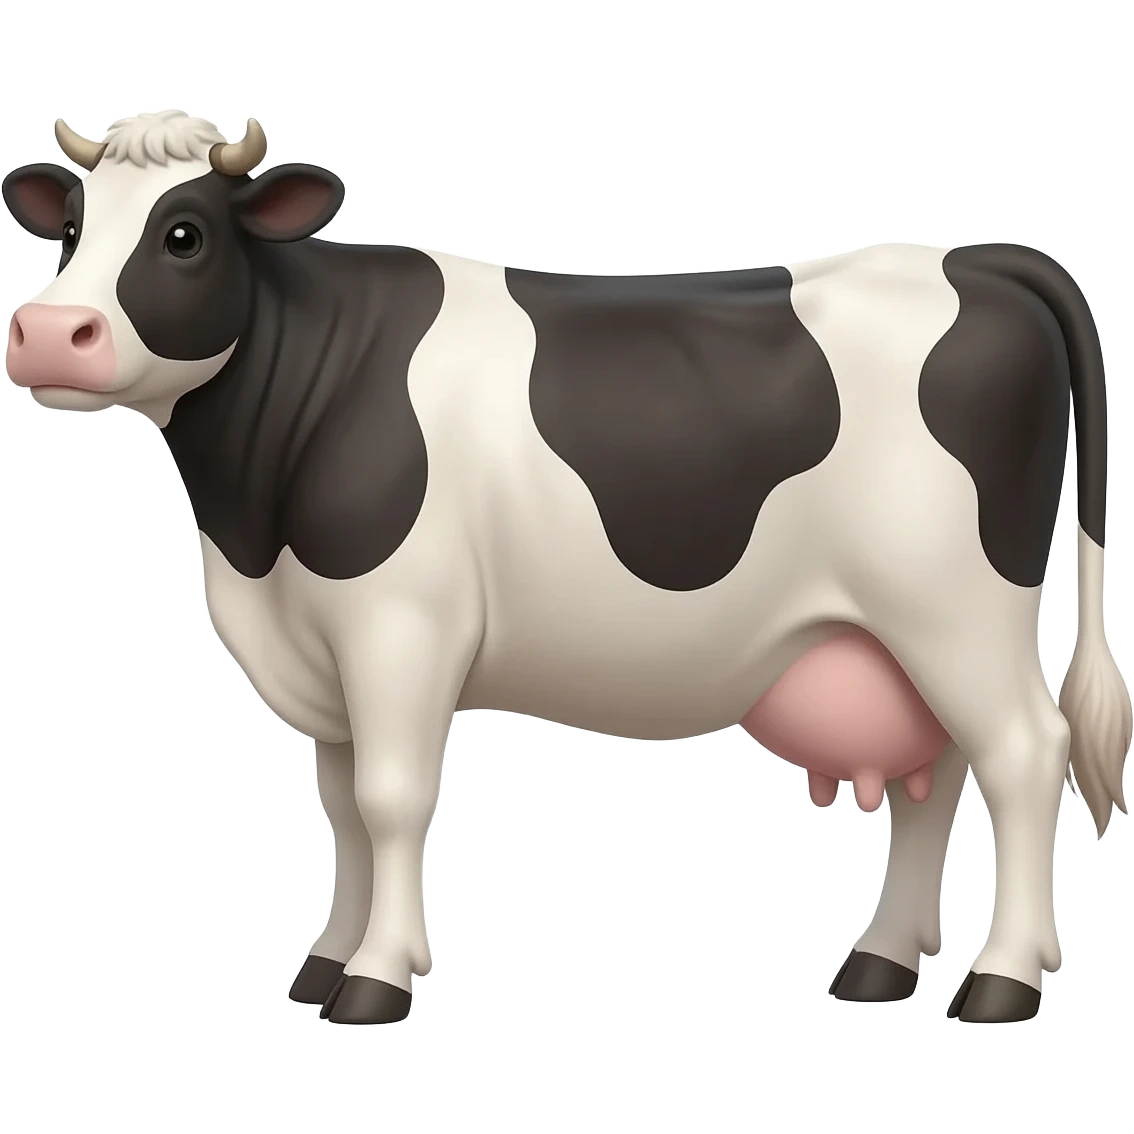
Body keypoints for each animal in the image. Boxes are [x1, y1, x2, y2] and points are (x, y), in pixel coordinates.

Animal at [2, 109, 1129, 1027]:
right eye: (70, 232)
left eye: (184, 234)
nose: (51, 332)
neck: (251, 530)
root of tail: (974, 256)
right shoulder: (322, 648)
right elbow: (342, 809)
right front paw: (325, 962)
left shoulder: (400, 625)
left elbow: (390, 799)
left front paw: (375, 979)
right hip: (895, 634)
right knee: (933, 776)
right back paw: (882, 964)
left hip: (954, 608)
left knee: (1024, 754)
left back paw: (1002, 980)